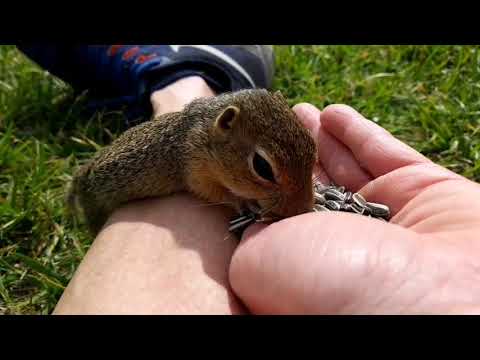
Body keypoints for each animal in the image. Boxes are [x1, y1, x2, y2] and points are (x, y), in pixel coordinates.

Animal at [65, 88, 316, 235]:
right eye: (262, 167)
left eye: (312, 144)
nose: (303, 209)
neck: (204, 134)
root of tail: (83, 175)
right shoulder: (194, 168)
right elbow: (212, 193)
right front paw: (243, 202)